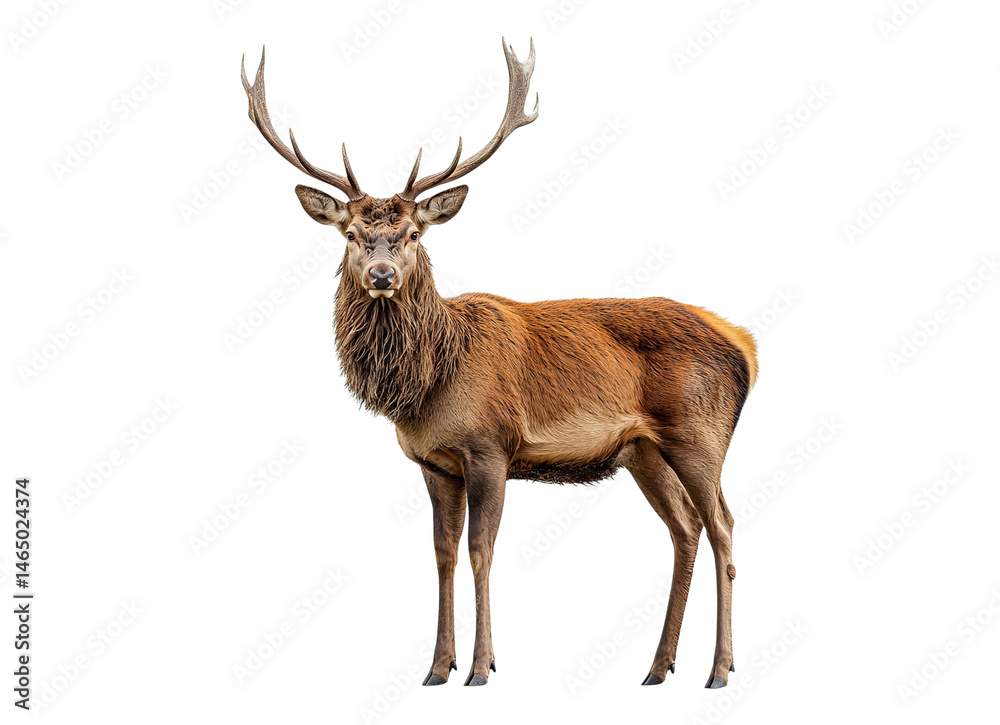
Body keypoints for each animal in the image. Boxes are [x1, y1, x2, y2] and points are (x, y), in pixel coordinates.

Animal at [241, 38, 757, 689]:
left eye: (413, 234)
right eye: (352, 234)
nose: (381, 275)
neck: (427, 383)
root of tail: (745, 343)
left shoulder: (491, 446)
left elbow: (480, 551)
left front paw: (482, 666)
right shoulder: (434, 464)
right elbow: (441, 554)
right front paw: (437, 666)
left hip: (700, 433)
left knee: (723, 526)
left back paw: (719, 668)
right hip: (645, 450)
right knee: (684, 529)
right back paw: (659, 667)